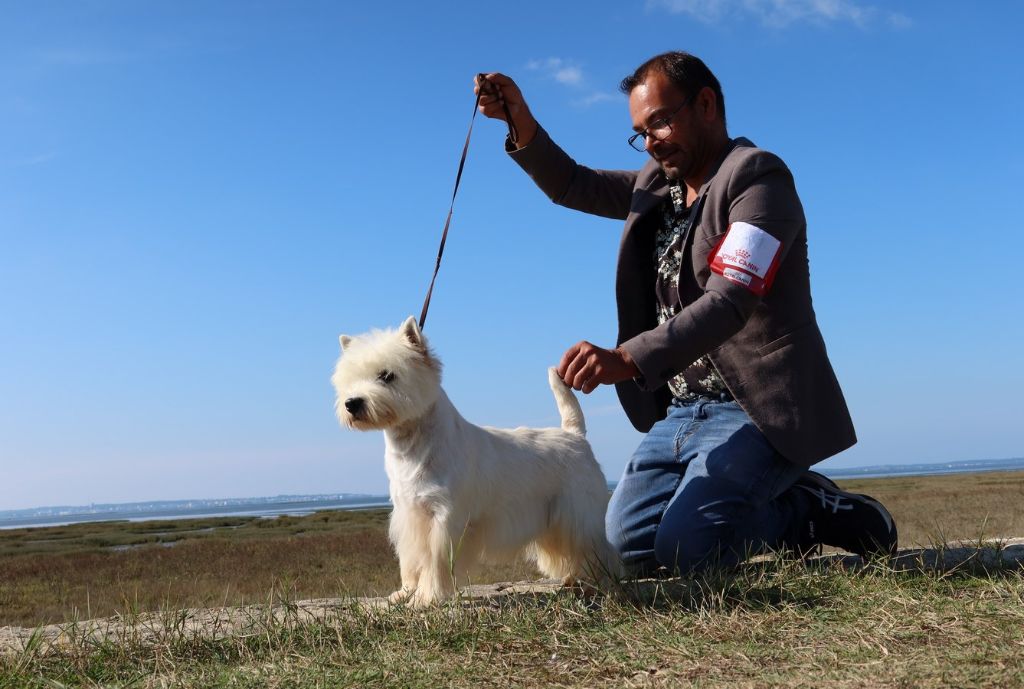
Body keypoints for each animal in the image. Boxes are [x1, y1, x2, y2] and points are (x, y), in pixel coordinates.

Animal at [331, 316, 619, 607]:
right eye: (350, 379)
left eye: (387, 375)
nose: (352, 403)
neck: (412, 444)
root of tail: (575, 435)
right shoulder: (409, 515)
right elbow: (411, 561)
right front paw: (406, 592)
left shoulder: (444, 519)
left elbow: (434, 562)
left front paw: (427, 597)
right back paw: (575, 578)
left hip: (579, 512)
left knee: (597, 547)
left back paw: (601, 581)